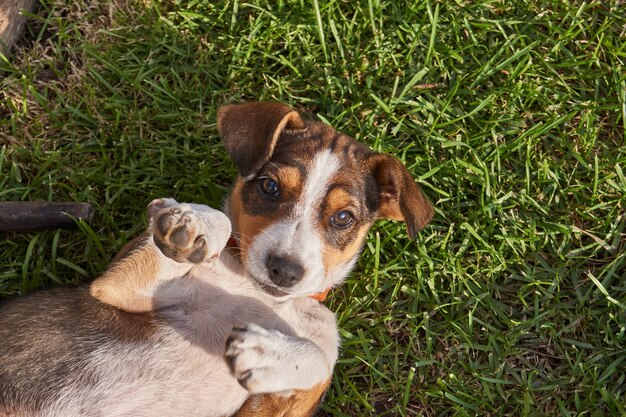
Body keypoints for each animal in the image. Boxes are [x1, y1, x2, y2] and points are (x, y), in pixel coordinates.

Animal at [0, 101, 428, 416]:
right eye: (269, 187)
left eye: (343, 218)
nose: (285, 270)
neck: (263, 296)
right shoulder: (116, 287)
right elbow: (212, 223)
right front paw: (193, 225)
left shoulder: (276, 405)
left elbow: (320, 357)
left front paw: (266, 354)